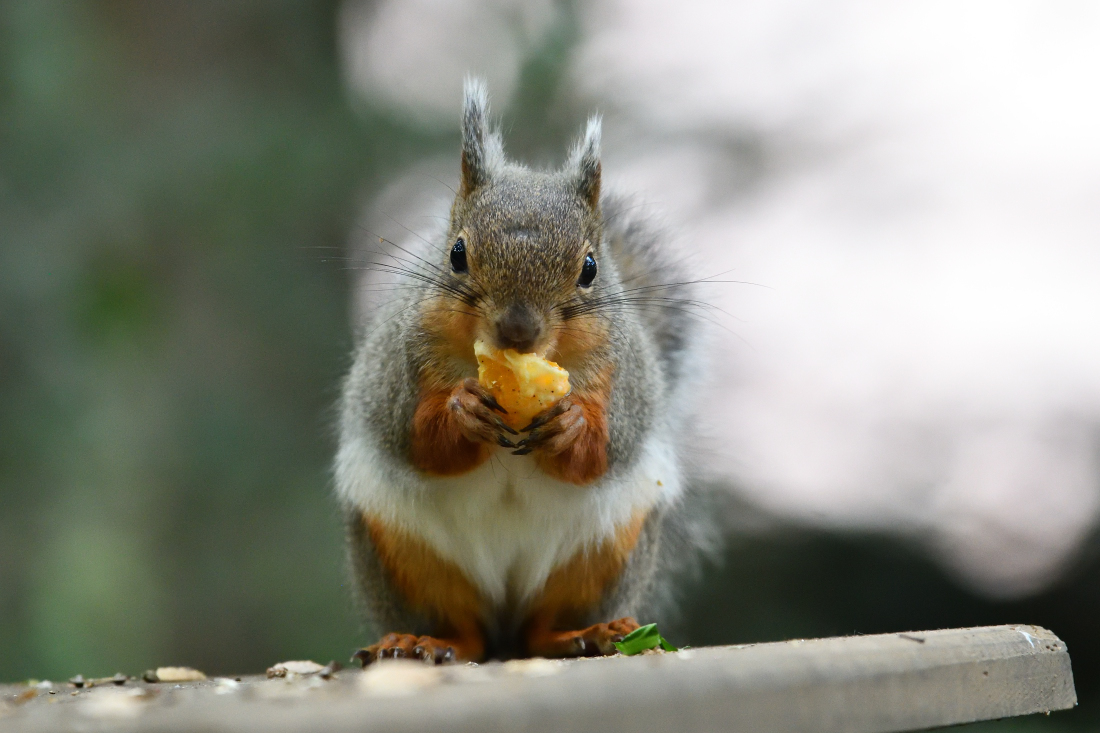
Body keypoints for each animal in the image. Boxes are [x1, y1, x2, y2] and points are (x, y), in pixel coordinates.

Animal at [335, 79, 706, 664]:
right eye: (456, 253)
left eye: (590, 268)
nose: (518, 330)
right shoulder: (404, 364)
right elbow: (416, 440)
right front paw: (463, 411)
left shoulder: (620, 375)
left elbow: (604, 452)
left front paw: (572, 424)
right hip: (405, 558)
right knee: (466, 629)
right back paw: (421, 641)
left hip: (602, 558)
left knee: (540, 629)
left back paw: (587, 634)